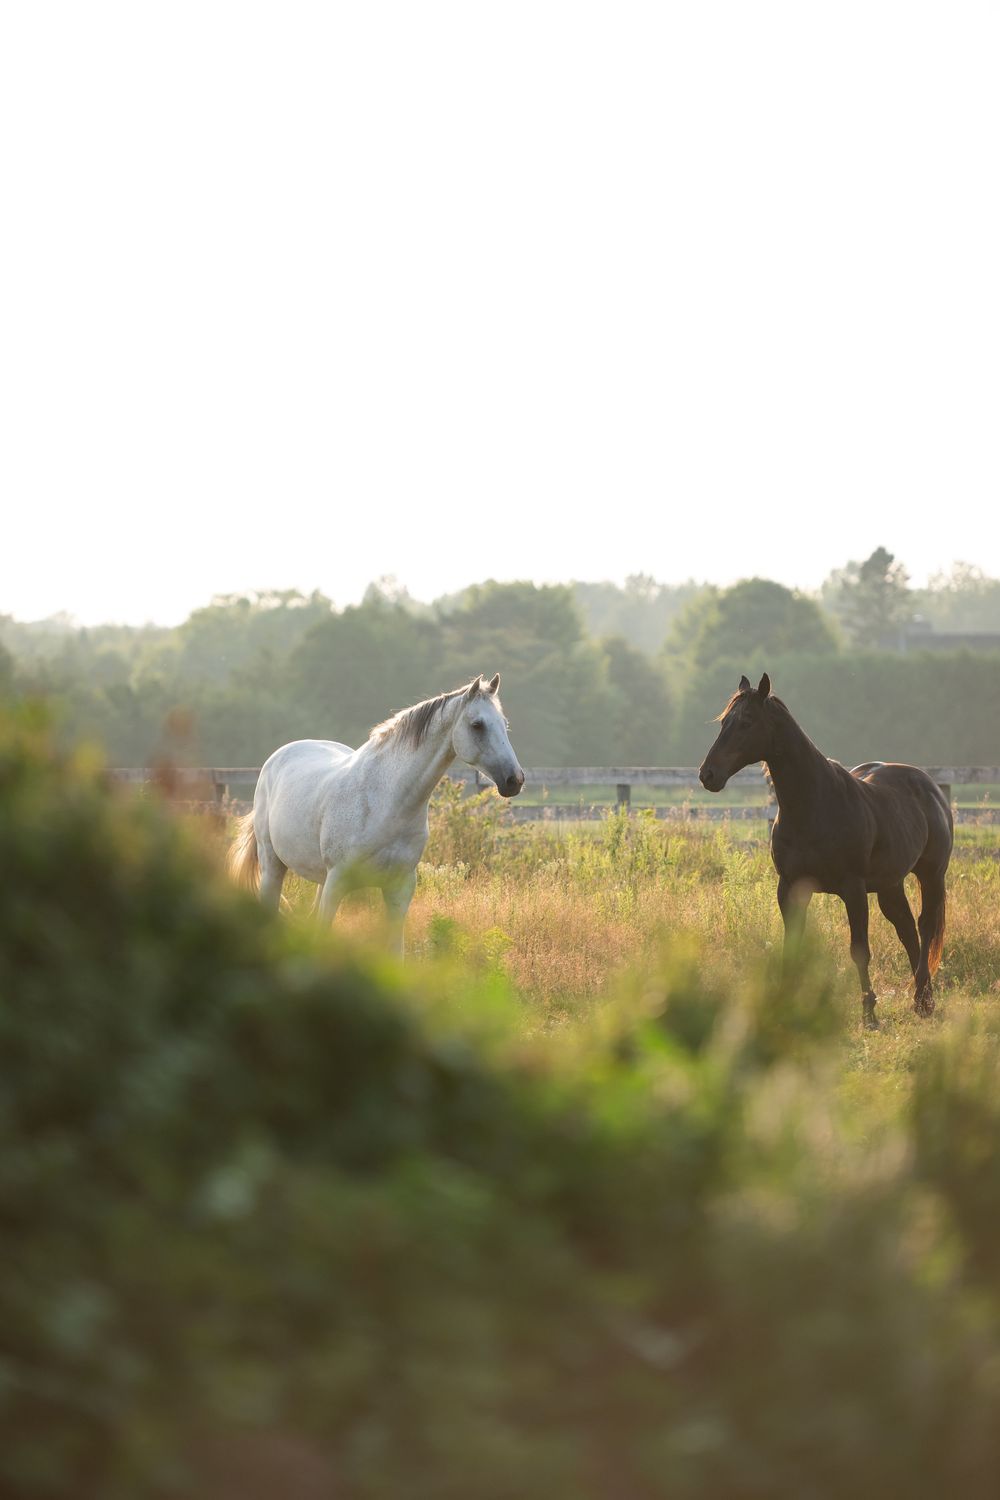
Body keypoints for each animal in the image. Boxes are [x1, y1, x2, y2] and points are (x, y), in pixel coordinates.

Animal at [228, 673, 524, 953]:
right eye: (477, 725)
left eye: (504, 724)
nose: (515, 780)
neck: (387, 802)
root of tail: (276, 758)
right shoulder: (337, 883)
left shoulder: (399, 888)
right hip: (273, 865)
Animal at [698, 673, 953, 1028]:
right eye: (724, 722)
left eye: (747, 721)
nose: (707, 774)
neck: (814, 805)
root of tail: (930, 787)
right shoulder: (790, 888)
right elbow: (792, 945)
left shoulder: (853, 889)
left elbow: (859, 950)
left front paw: (869, 1014)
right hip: (890, 885)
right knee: (905, 928)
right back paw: (921, 997)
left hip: (931, 876)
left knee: (925, 926)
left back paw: (923, 1000)